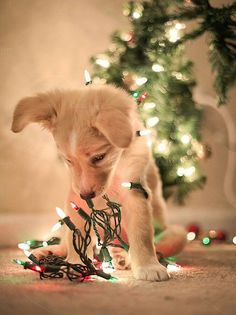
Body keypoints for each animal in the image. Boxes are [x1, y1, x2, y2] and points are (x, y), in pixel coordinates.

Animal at [11, 84, 186, 282]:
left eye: (99, 157)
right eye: (68, 160)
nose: (86, 194)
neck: (115, 170)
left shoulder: (135, 191)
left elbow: (142, 236)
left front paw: (148, 266)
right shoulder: (74, 199)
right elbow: (75, 236)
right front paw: (75, 264)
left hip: (176, 234)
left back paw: (121, 256)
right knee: (67, 243)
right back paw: (47, 251)